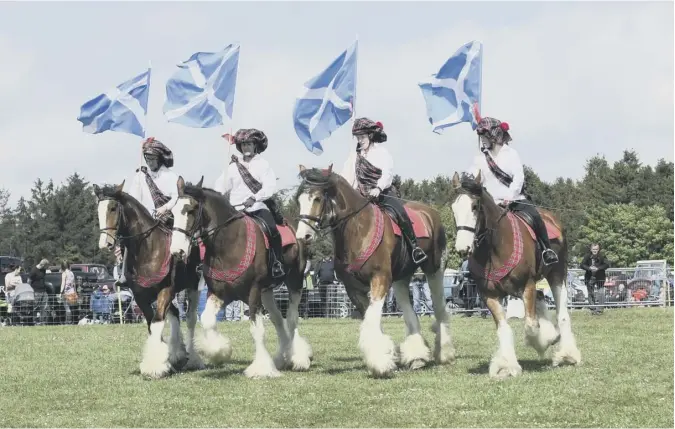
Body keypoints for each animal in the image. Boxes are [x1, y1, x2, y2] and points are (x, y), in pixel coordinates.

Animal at [94, 182, 203, 376]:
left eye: (113, 208)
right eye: (98, 210)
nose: (105, 243)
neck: (149, 249)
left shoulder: (166, 291)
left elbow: (158, 321)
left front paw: (155, 366)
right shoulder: (140, 296)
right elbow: (152, 324)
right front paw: (162, 360)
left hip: (193, 287)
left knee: (190, 319)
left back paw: (192, 358)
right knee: (175, 314)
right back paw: (177, 355)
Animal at [170, 176, 310, 376]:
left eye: (190, 210)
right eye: (173, 212)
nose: (177, 251)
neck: (229, 243)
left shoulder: (253, 292)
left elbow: (257, 330)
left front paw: (261, 368)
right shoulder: (220, 293)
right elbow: (207, 320)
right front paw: (219, 351)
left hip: (294, 283)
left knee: (291, 318)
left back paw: (298, 358)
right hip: (267, 292)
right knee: (277, 319)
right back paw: (282, 358)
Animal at [294, 164, 454, 378]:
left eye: (318, 198)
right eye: (299, 199)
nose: (303, 236)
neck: (359, 230)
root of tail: (431, 212)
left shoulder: (380, 279)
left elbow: (371, 321)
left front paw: (380, 363)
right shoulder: (353, 288)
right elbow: (371, 321)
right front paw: (384, 356)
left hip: (434, 269)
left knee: (439, 307)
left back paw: (444, 352)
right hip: (401, 279)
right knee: (410, 312)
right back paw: (417, 357)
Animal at [448, 171, 580, 378]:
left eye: (474, 206)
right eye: (454, 208)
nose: (463, 247)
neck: (494, 249)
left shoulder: (527, 286)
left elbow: (531, 326)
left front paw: (543, 342)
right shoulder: (490, 295)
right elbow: (504, 329)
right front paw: (506, 366)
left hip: (557, 274)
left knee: (562, 314)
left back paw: (567, 354)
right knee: (541, 297)